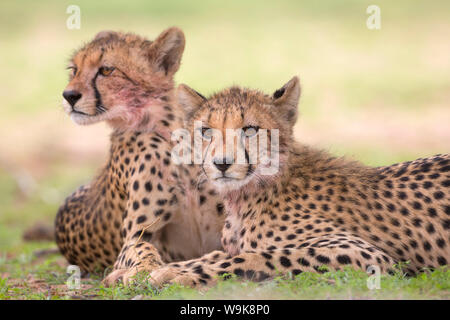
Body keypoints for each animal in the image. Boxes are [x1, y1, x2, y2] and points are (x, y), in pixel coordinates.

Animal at [55, 26, 225, 282]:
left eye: (106, 70)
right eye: (74, 70)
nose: (69, 96)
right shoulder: (135, 237)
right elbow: (142, 248)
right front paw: (142, 270)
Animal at [148, 77, 450, 288]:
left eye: (250, 130)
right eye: (206, 131)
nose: (221, 163)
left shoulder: (367, 254)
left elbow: (260, 256)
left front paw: (175, 274)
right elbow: (218, 255)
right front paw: (158, 269)